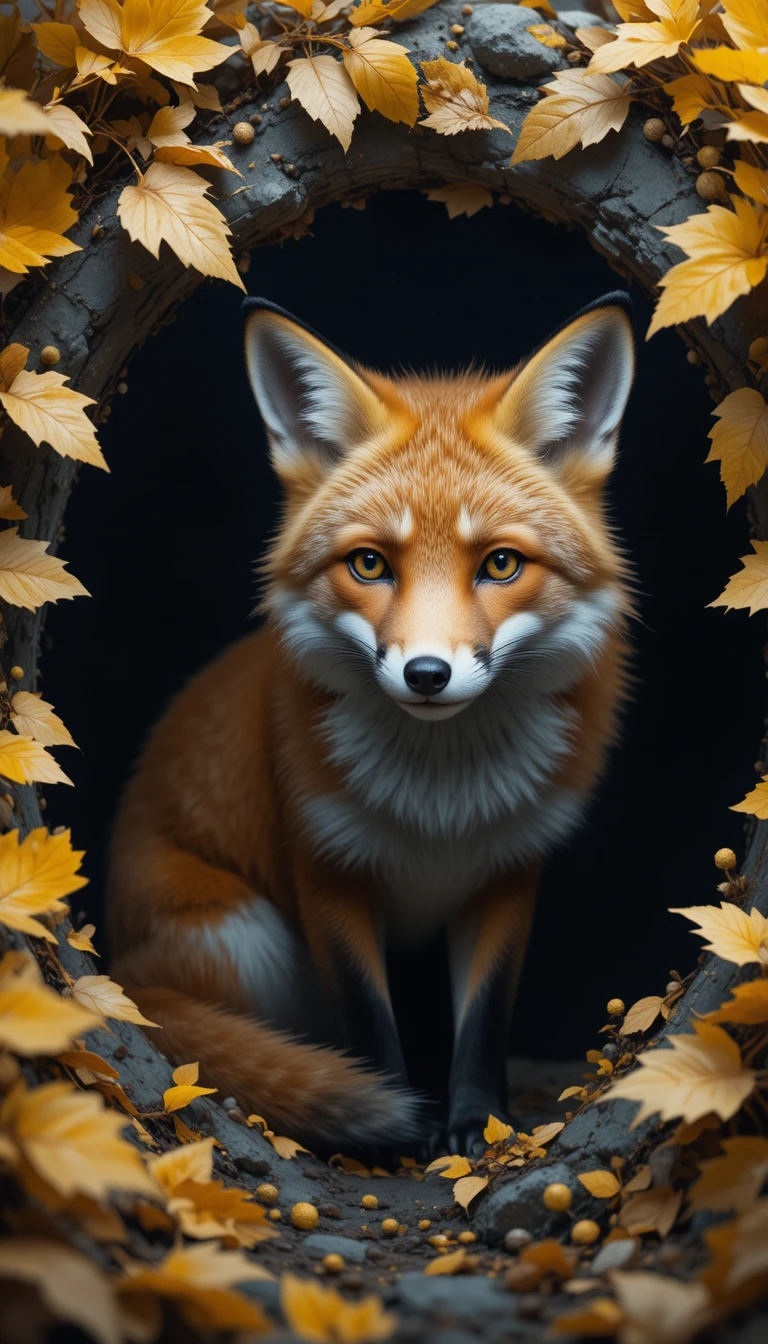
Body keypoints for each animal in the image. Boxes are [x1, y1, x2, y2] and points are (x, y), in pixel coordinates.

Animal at [107, 291, 635, 1156]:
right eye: (369, 564)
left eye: (500, 564)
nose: (426, 674)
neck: (441, 805)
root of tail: (116, 966)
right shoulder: (327, 871)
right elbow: (368, 1021)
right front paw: (403, 1133)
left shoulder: (509, 870)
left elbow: (483, 1021)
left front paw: (478, 1126)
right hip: (244, 935)